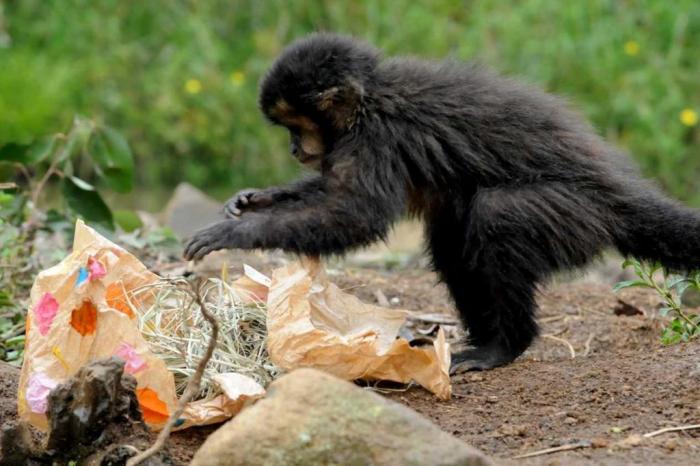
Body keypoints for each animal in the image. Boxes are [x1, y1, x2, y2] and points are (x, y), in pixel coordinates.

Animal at [185, 33, 700, 372]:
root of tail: (616, 190)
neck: (369, 100)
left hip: (577, 216)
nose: (295, 148)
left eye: (295, 126)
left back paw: (505, 346)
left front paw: (237, 233)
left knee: (498, 215)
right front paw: (256, 199)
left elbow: (356, 214)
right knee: (454, 240)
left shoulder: (378, 136)